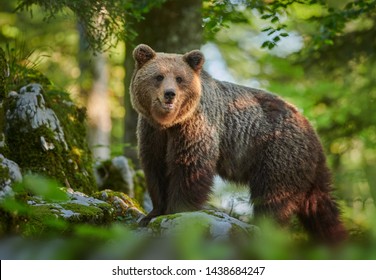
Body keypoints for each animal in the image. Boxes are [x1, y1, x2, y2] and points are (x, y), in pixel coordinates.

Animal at [129, 43, 346, 243]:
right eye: (158, 76)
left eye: (179, 78)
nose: (169, 94)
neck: (169, 123)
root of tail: (310, 127)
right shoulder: (152, 133)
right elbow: (155, 168)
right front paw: (152, 214)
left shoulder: (195, 127)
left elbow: (190, 166)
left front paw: (177, 211)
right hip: (306, 167)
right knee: (321, 205)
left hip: (278, 153)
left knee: (273, 196)